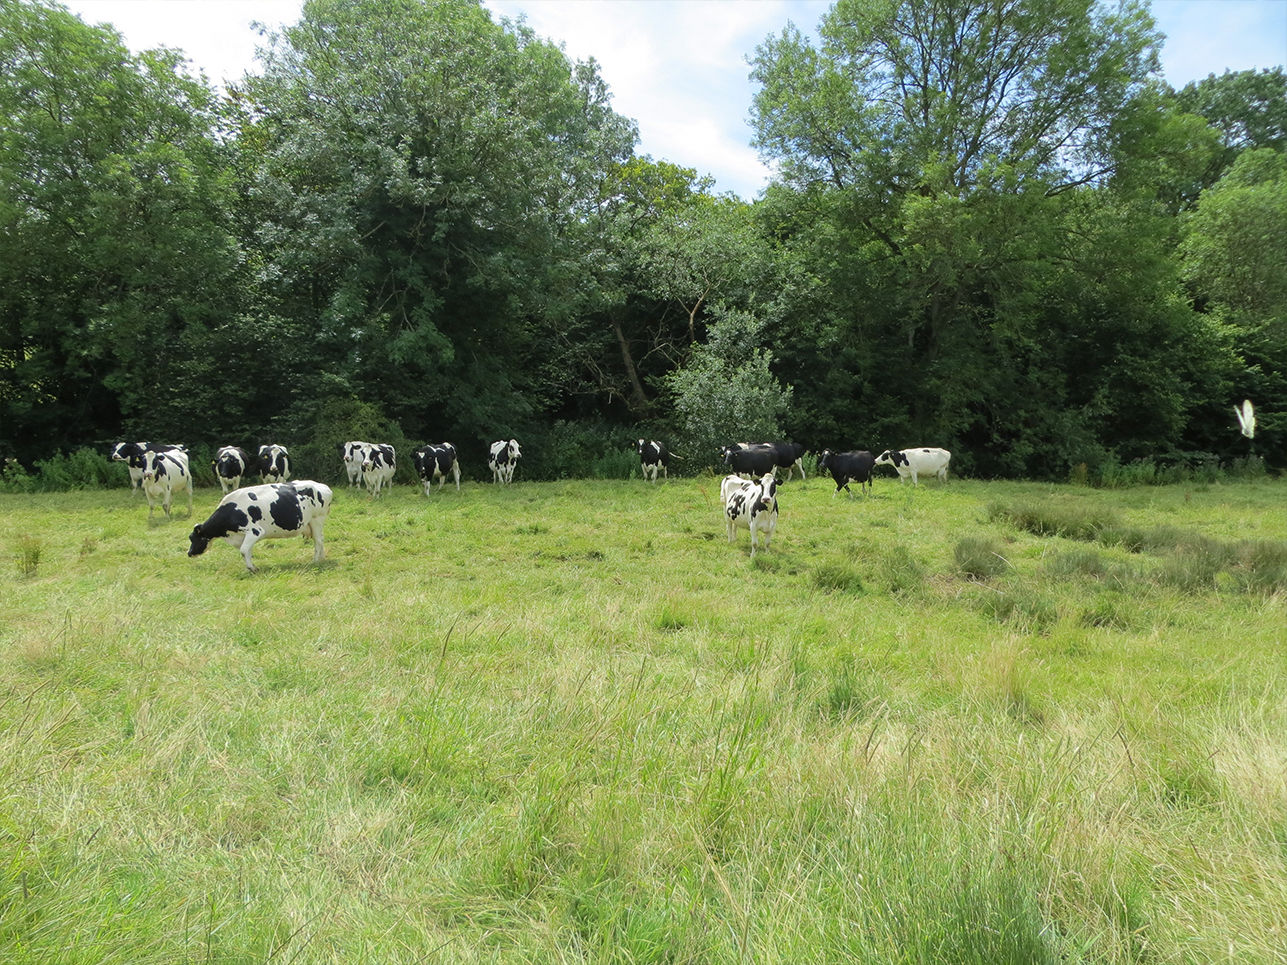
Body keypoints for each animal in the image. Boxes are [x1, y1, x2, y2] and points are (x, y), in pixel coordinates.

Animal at [188, 481, 332, 573]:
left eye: (194, 539)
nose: (189, 553)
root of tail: (322, 485)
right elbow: (248, 551)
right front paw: (248, 568)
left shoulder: (255, 531)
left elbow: (243, 550)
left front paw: (252, 569)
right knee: (321, 539)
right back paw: (321, 558)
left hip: (317, 519)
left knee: (318, 541)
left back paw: (315, 561)